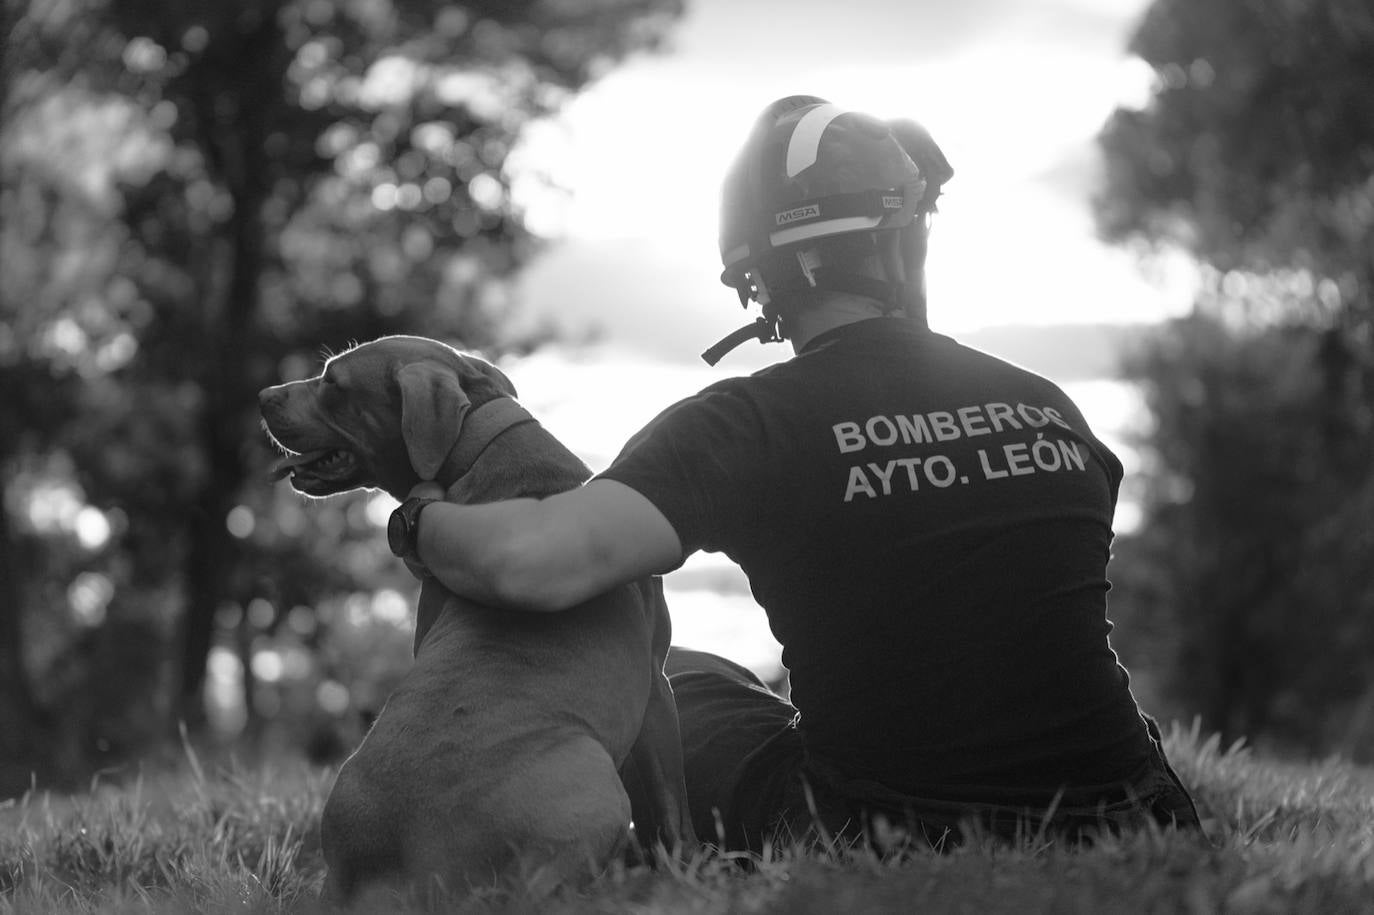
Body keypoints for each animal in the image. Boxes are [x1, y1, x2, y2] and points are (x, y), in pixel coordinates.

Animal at [259, 335, 697, 895]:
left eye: (333, 382)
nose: (263, 395)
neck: (480, 448)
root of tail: (387, 879)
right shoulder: (656, 685)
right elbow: (672, 807)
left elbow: (669, 806)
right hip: (594, 775)